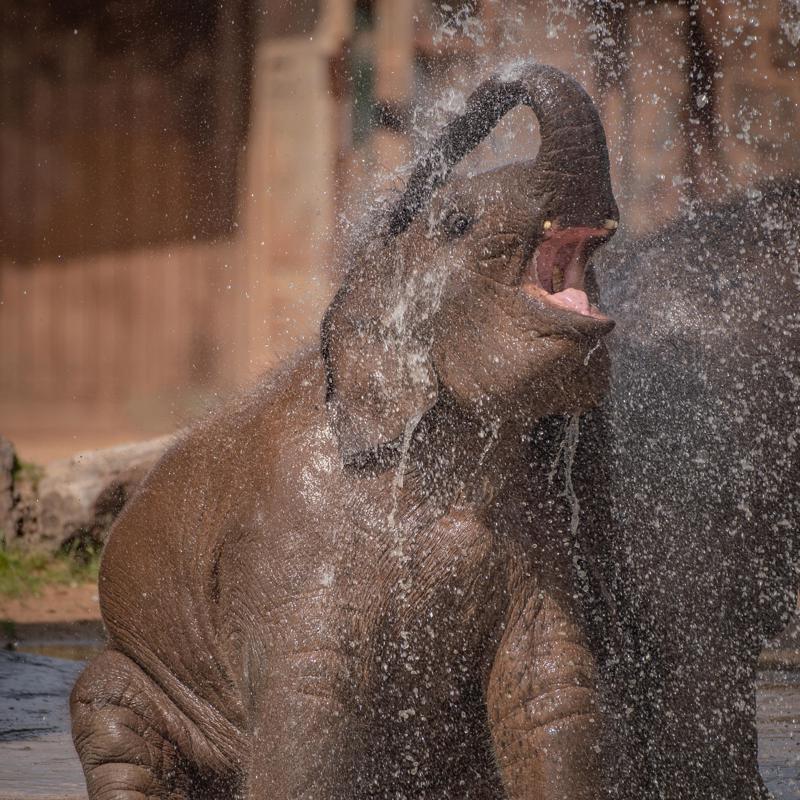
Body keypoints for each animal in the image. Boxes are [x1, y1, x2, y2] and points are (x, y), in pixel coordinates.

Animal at [70, 63, 623, 800]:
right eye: (457, 222)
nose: (407, 190)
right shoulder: (288, 545)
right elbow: (310, 709)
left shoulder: (539, 541)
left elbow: (552, 693)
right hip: (134, 670)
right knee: (109, 715)